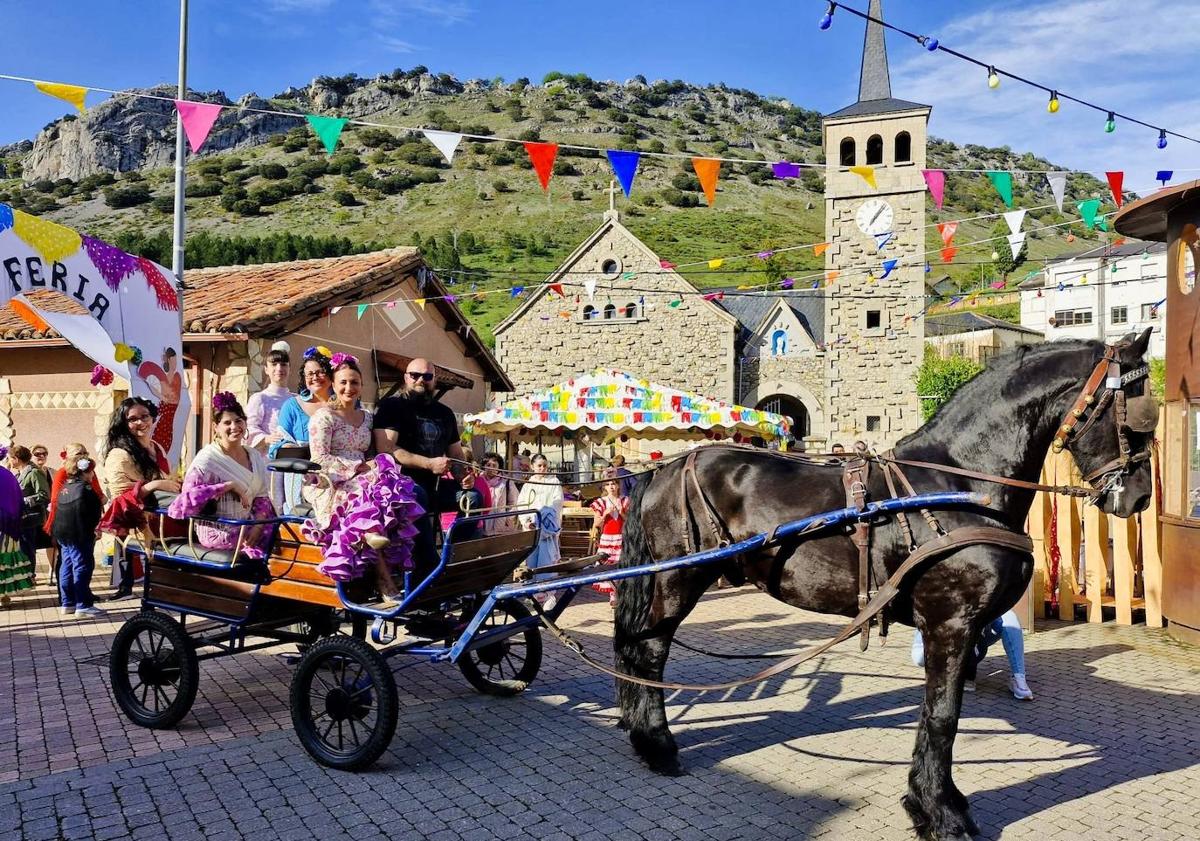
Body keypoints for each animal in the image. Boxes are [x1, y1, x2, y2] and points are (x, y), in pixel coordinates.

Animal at [614, 328, 1156, 839]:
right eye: (1135, 415)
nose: (1140, 497)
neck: (961, 482)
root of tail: (664, 468)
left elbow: (939, 714)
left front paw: (937, 801)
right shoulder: (950, 624)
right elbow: (943, 716)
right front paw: (939, 813)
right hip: (678, 580)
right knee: (649, 652)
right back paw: (657, 745)